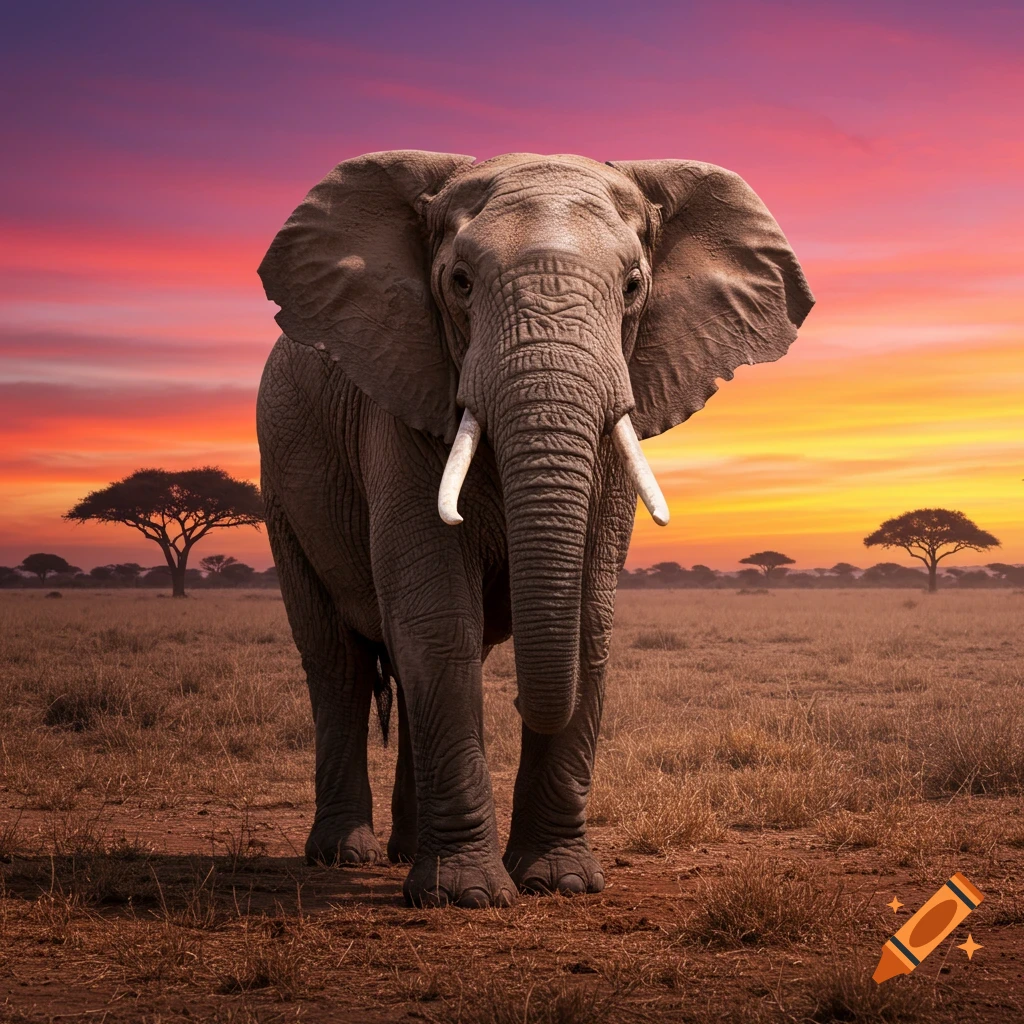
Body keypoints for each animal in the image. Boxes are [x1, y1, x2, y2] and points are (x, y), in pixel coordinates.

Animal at [256, 151, 813, 908]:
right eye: (460, 283)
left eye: (633, 285)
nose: (523, 694)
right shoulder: (400, 397)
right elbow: (439, 619)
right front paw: (465, 896)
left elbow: (588, 620)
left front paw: (559, 883)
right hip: (280, 486)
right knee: (336, 662)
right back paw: (346, 855)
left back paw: (406, 852)